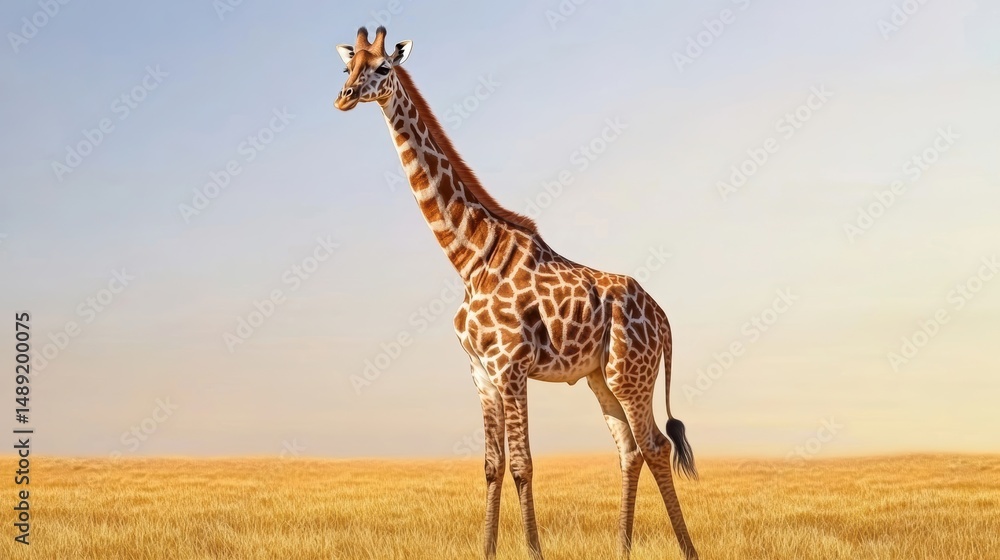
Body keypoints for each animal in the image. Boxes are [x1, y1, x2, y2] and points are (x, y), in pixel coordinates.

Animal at [334, 27, 700, 560]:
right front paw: (488, 550)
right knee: (630, 450)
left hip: (630, 372)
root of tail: (664, 318)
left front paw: (533, 551)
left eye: (382, 67)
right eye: (348, 67)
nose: (342, 98)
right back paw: (623, 548)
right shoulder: (480, 373)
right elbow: (492, 465)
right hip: (600, 378)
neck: (470, 258)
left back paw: (686, 549)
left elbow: (523, 465)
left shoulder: (511, 366)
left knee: (655, 444)